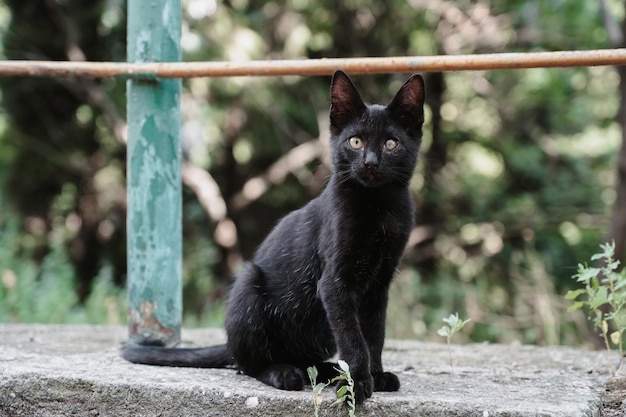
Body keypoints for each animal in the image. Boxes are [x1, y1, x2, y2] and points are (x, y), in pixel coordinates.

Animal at [122, 70, 424, 404]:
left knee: (300, 359)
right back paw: (284, 373)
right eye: (355, 141)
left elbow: (374, 333)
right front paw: (356, 384)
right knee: (248, 364)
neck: (378, 207)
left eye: (391, 143)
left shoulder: (379, 284)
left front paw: (375, 374)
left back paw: (328, 371)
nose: (371, 162)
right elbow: (352, 337)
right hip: (248, 285)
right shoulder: (334, 283)